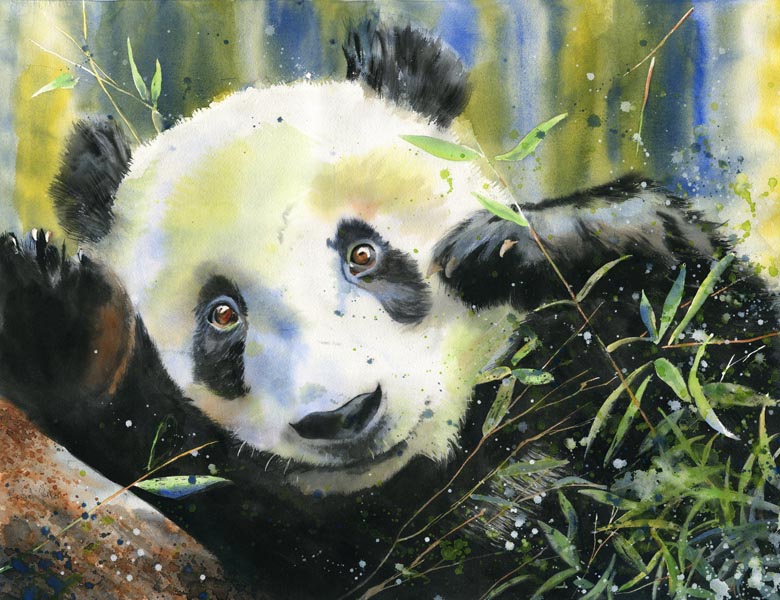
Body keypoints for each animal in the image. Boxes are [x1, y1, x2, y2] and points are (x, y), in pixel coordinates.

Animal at [1, 19, 779, 600]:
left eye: (363, 254)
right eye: (222, 315)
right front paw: (64, 329)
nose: (343, 416)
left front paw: (518, 246)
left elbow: (720, 385)